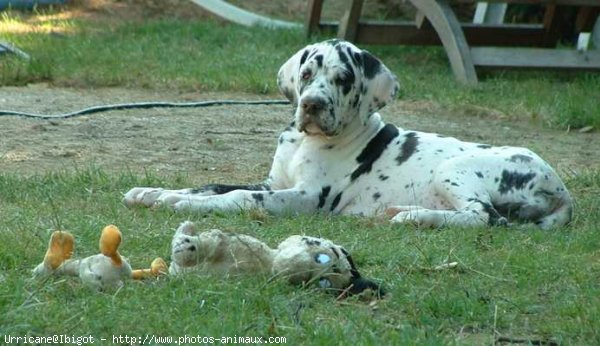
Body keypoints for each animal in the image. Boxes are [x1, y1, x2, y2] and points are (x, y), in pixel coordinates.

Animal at [124, 39, 576, 230]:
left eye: (343, 78)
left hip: (455, 167)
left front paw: (183, 204)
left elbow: (238, 198)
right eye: (307, 74)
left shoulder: (306, 197)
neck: (304, 141)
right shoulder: (274, 182)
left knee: (483, 217)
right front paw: (154, 192)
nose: (311, 105)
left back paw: (412, 216)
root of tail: (561, 189)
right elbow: (215, 185)